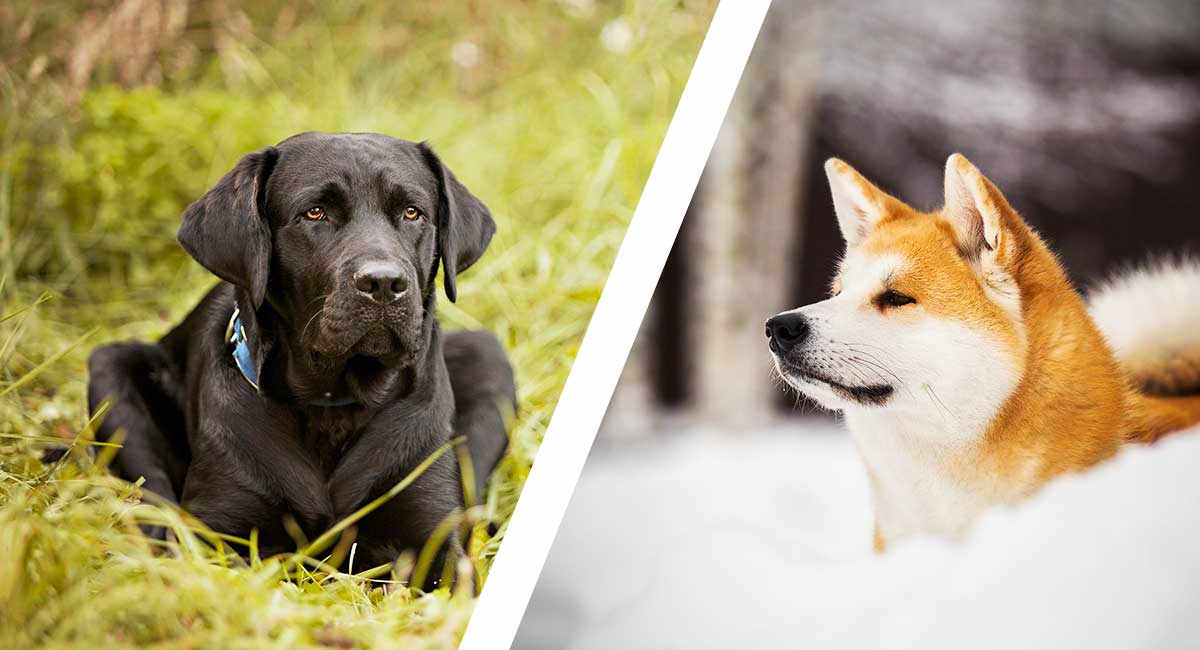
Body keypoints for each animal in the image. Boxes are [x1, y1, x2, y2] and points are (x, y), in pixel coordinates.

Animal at [87, 132, 513, 585]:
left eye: (412, 212)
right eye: (315, 213)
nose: (383, 282)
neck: (334, 404)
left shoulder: (435, 543)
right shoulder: (221, 535)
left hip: (490, 360)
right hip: (111, 372)